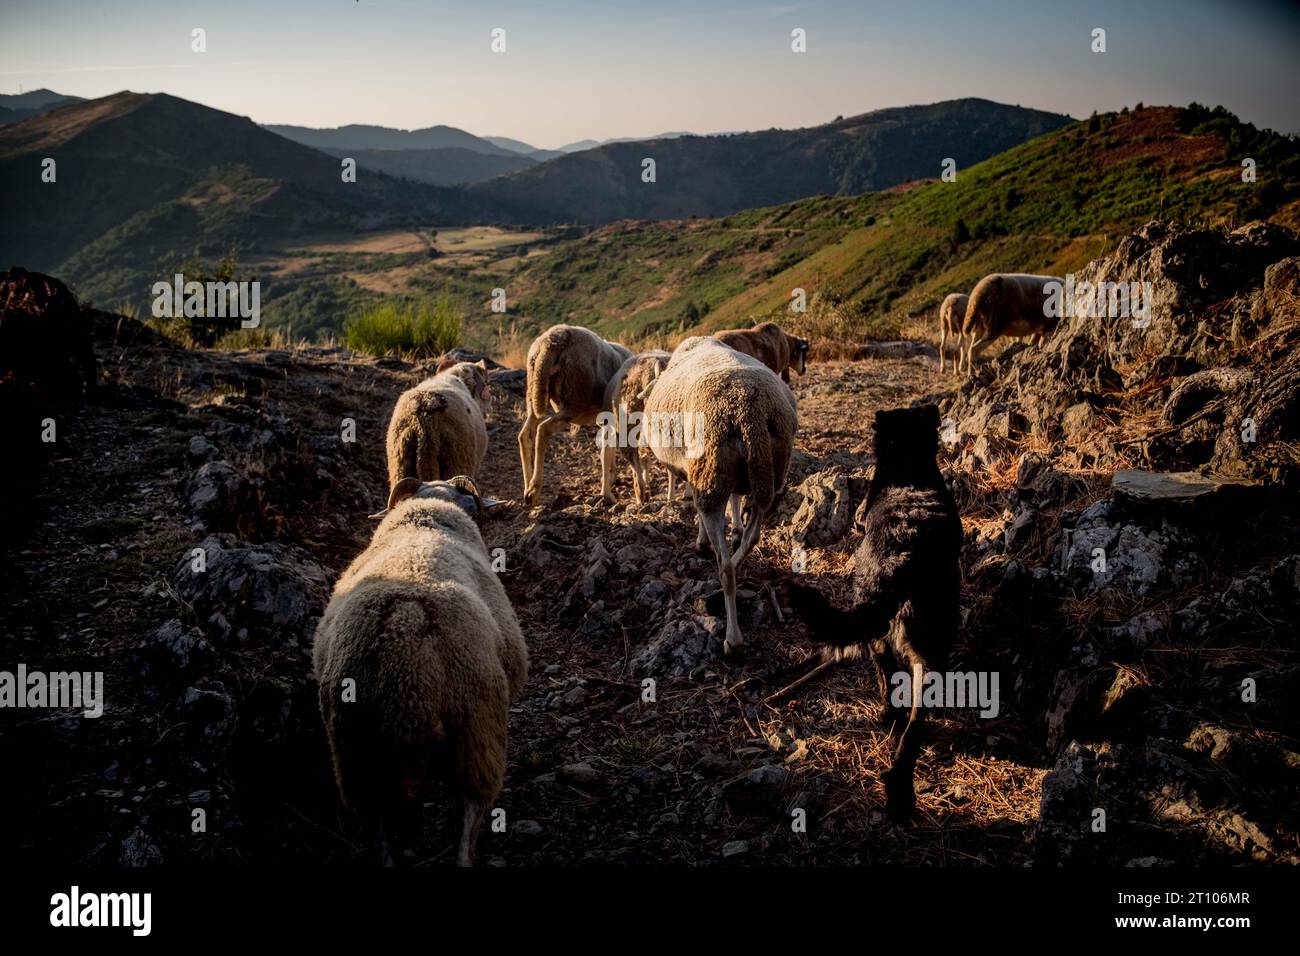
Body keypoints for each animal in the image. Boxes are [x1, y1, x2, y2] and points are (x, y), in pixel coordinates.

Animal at [522, 325, 634, 509]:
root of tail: (552, 341)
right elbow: (607, 450)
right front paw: (607, 494)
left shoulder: (607, 420)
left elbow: (608, 447)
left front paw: (610, 479)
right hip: (573, 403)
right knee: (543, 429)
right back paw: (534, 490)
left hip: (534, 390)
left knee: (525, 434)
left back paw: (527, 487)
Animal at [644, 335, 795, 658]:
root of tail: (751, 411)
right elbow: (736, 505)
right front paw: (732, 527)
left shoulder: (695, 473)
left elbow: (695, 505)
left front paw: (700, 542)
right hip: (768, 471)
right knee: (752, 537)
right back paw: (738, 557)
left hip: (711, 471)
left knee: (724, 566)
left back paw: (733, 637)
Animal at [785, 403, 961, 822]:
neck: (907, 469)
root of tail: (904, 552)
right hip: (931, 644)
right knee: (914, 723)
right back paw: (902, 792)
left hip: (878, 625)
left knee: (888, 678)